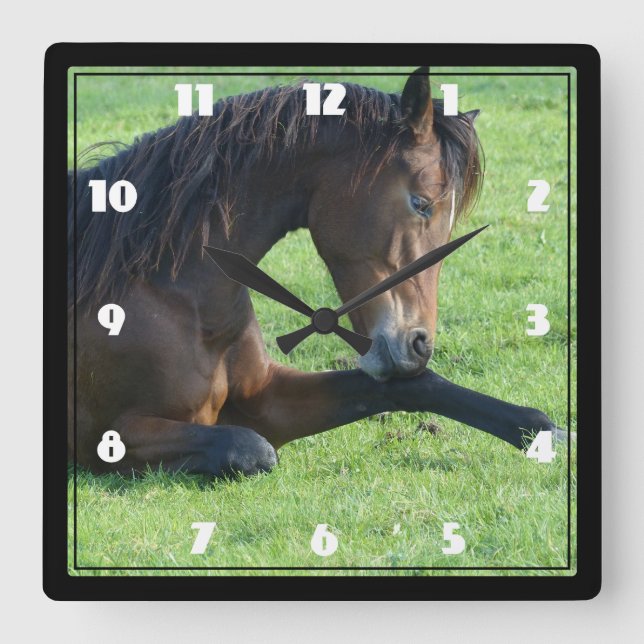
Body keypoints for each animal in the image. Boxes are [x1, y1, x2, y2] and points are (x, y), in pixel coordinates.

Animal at [68, 67, 564, 477]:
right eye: (421, 203)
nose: (419, 345)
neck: (172, 292)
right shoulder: (113, 436)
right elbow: (250, 449)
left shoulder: (266, 396)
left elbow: (415, 387)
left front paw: (544, 431)